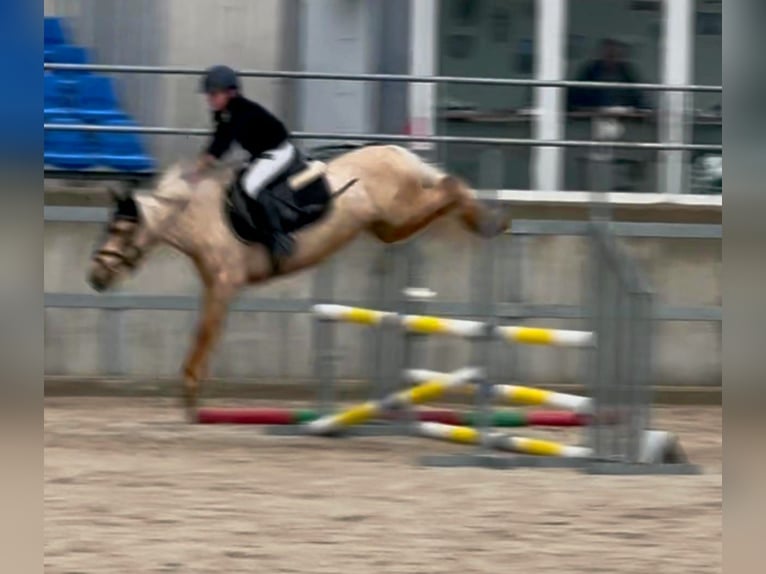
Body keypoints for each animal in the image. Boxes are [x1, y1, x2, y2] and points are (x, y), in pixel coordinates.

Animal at [87, 143, 512, 419]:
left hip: (400, 211)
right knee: (442, 196)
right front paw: (190, 392)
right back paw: (486, 220)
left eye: (121, 231)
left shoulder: (223, 286)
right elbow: (204, 332)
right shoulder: (214, 287)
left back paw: (491, 221)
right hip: (391, 226)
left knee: (450, 186)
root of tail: (395, 151)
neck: (201, 219)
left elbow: (205, 333)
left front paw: (190, 393)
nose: (96, 277)